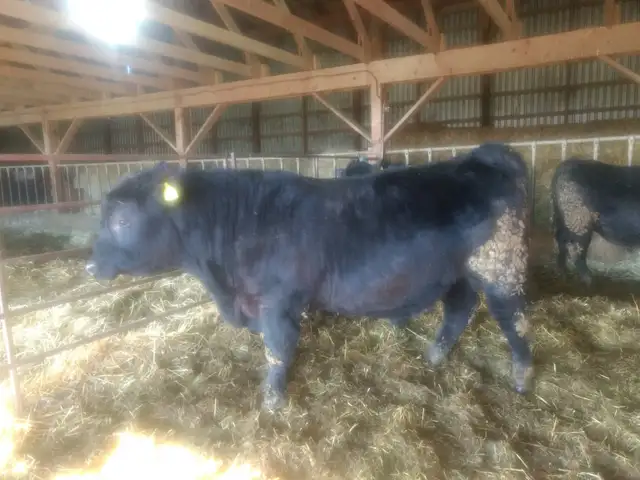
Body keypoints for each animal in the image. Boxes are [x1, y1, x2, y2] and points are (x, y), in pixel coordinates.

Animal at [85, 142, 533, 412]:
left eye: (123, 220)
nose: (90, 266)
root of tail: (481, 155)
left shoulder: (277, 302)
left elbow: (278, 349)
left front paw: (272, 400)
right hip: (459, 273)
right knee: (459, 307)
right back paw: (435, 356)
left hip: (502, 270)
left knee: (515, 321)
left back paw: (522, 378)